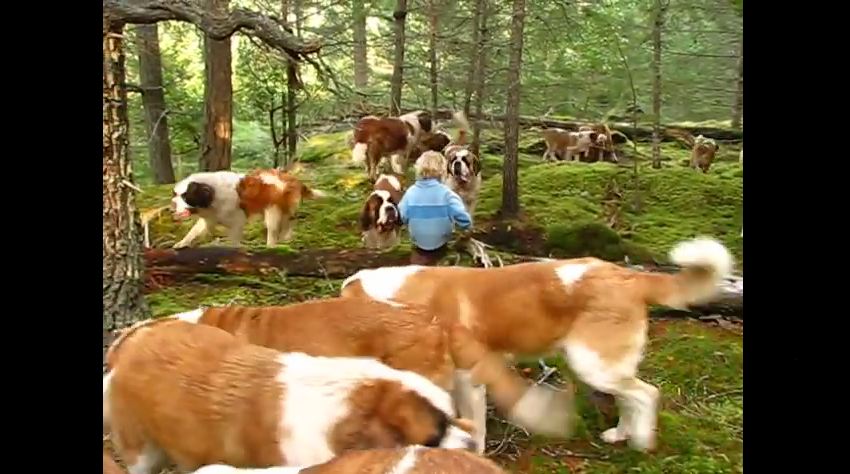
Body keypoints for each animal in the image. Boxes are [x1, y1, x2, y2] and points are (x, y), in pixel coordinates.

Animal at [171, 168, 322, 248]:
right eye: (176, 194)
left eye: (185, 196)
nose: (172, 204)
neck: (214, 192)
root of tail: (291, 177)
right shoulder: (209, 218)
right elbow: (193, 231)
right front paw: (181, 243)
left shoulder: (237, 222)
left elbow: (234, 240)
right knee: (287, 225)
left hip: (272, 211)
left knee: (274, 229)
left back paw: (271, 247)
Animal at [342, 237, 732, 452]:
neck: (395, 301)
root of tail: (627, 275)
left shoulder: (471, 381)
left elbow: (474, 427)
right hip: (602, 367)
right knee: (630, 397)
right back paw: (620, 434)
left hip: (594, 364)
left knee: (646, 394)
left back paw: (640, 441)